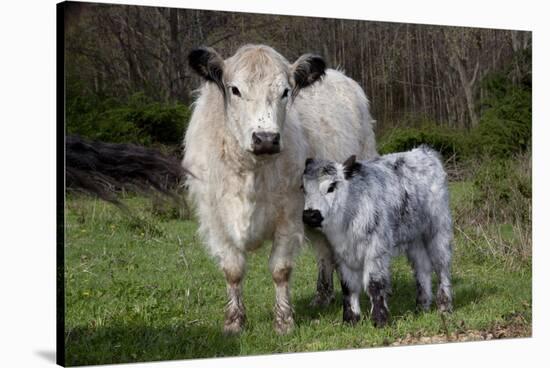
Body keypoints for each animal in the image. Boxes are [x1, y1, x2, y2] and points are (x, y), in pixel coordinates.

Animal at [183, 43, 378, 334]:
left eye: (285, 91)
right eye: (235, 89)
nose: (266, 138)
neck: (251, 175)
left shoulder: (289, 214)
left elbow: (280, 269)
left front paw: (284, 321)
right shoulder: (215, 219)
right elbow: (232, 270)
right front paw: (234, 322)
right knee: (324, 251)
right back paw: (322, 296)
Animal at [304, 145, 454, 326]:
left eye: (331, 187)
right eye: (304, 189)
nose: (310, 214)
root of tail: (423, 151)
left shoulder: (376, 249)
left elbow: (374, 283)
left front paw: (380, 320)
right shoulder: (342, 254)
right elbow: (348, 286)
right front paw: (350, 320)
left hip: (438, 229)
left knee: (441, 266)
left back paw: (445, 306)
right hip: (414, 237)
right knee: (422, 268)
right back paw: (422, 306)